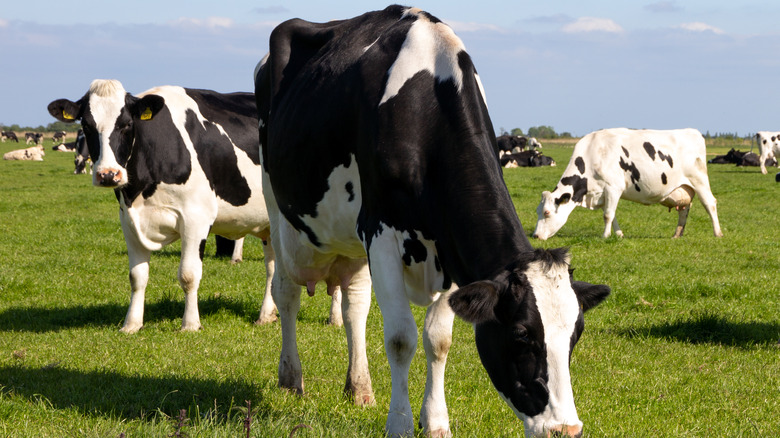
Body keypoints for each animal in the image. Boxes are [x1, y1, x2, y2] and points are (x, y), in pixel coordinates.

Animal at [46, 79, 286, 332]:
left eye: (126, 124)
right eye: (86, 125)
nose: (108, 174)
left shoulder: (196, 218)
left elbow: (189, 274)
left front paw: (190, 324)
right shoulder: (129, 221)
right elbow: (137, 276)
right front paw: (131, 324)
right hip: (270, 224)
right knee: (273, 266)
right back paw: (266, 315)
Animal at [256, 6, 608, 438]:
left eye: (577, 333)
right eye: (521, 334)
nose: (566, 429)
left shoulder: (449, 245)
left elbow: (438, 340)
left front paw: (436, 421)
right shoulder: (380, 233)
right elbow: (400, 338)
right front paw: (400, 424)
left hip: (350, 239)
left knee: (355, 305)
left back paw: (359, 387)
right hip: (279, 210)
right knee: (286, 291)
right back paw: (291, 378)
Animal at [532, 127, 724, 240]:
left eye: (547, 212)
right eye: (538, 211)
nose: (535, 236)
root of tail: (693, 131)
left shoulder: (613, 187)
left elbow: (608, 215)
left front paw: (605, 236)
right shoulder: (603, 192)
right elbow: (612, 215)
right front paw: (618, 234)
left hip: (699, 180)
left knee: (710, 203)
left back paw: (718, 233)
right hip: (685, 188)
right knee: (684, 210)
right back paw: (677, 235)